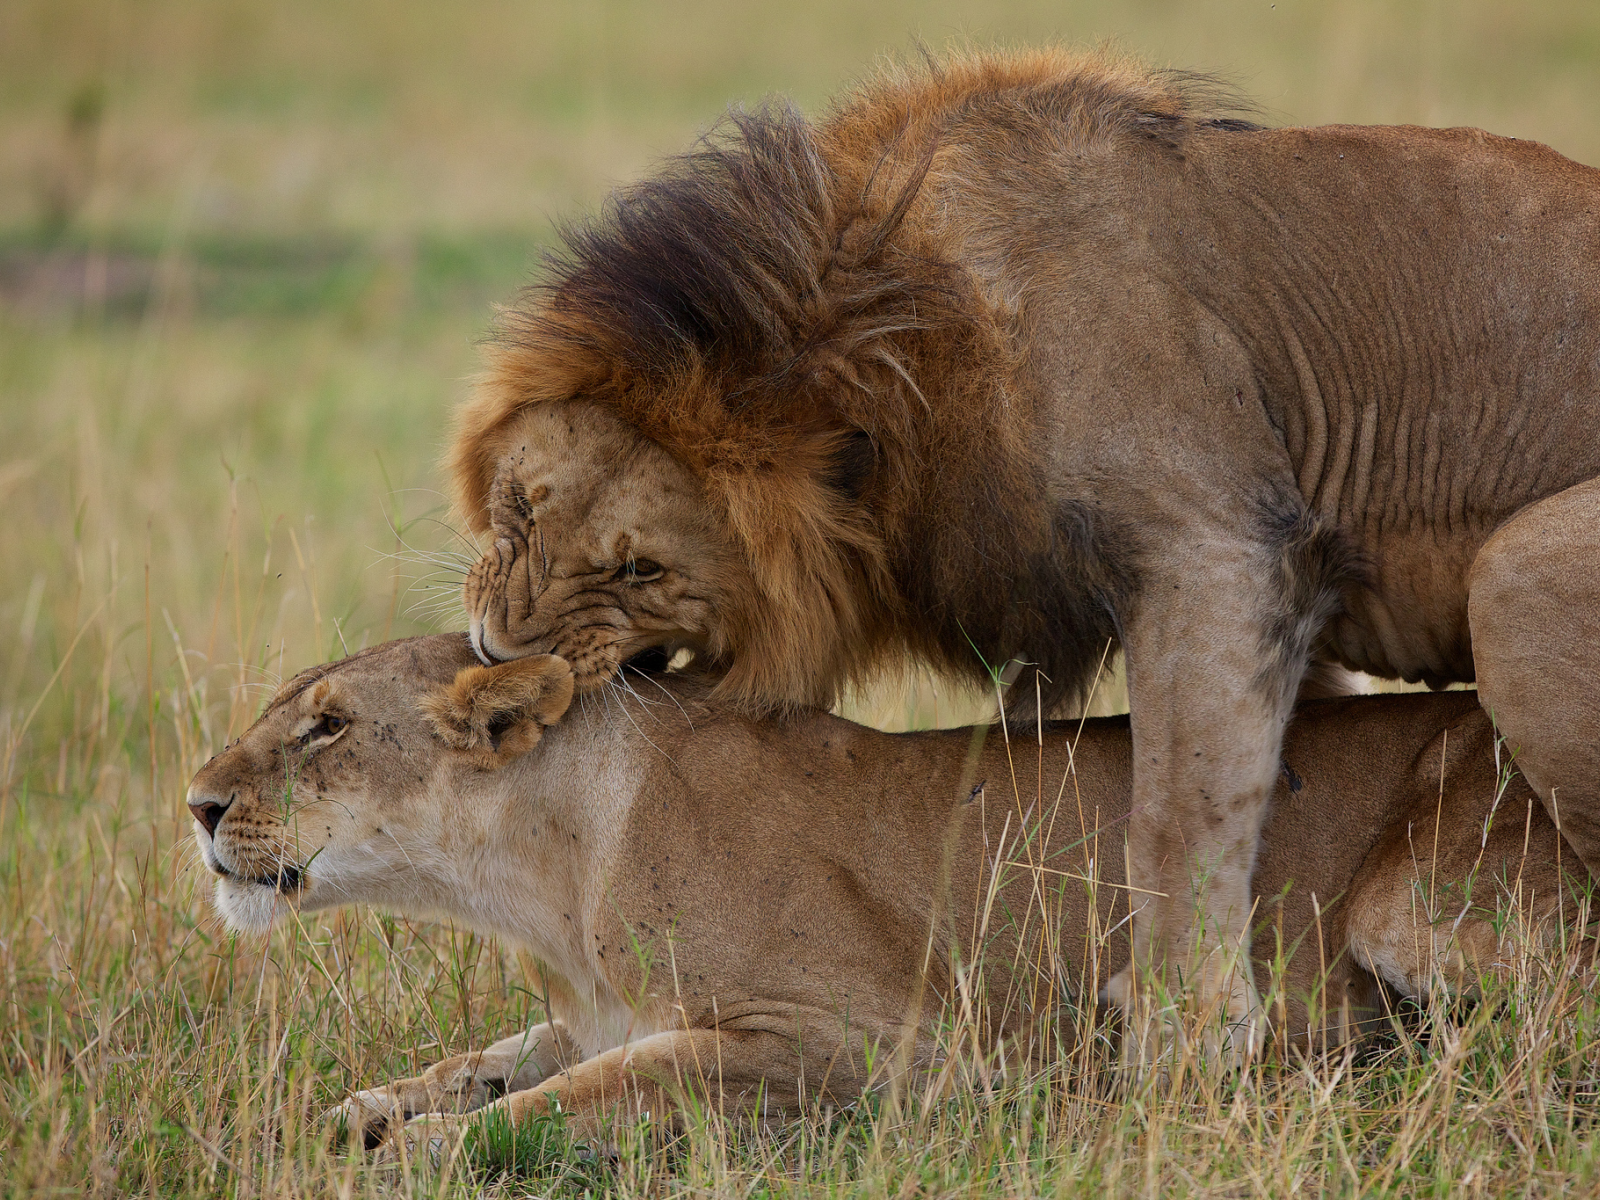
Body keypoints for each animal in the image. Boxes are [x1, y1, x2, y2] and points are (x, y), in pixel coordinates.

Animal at [187, 633, 1574, 1152]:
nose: (195, 805)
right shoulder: (595, 1010)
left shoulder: (867, 1041)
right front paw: (359, 1108)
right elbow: (496, 1057)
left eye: (325, 727)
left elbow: (590, 1091)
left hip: (1411, 904)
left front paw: (419, 1154)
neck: (541, 880)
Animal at [448, 47, 1600, 1049]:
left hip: (1515, 573)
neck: (904, 340)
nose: (497, 657)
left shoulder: (1221, 549)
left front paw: (1183, 1050)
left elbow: (1177, 818)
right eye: (517, 509)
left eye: (640, 570)